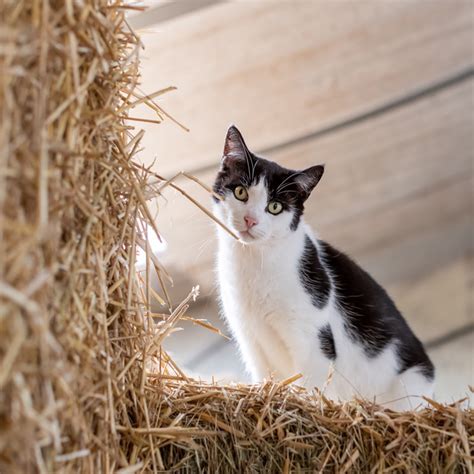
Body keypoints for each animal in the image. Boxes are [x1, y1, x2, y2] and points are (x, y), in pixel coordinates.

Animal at [213, 126, 436, 412]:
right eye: (241, 192)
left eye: (275, 207)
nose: (251, 220)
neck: (254, 262)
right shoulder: (249, 337)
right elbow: (264, 376)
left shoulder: (313, 340)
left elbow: (309, 385)